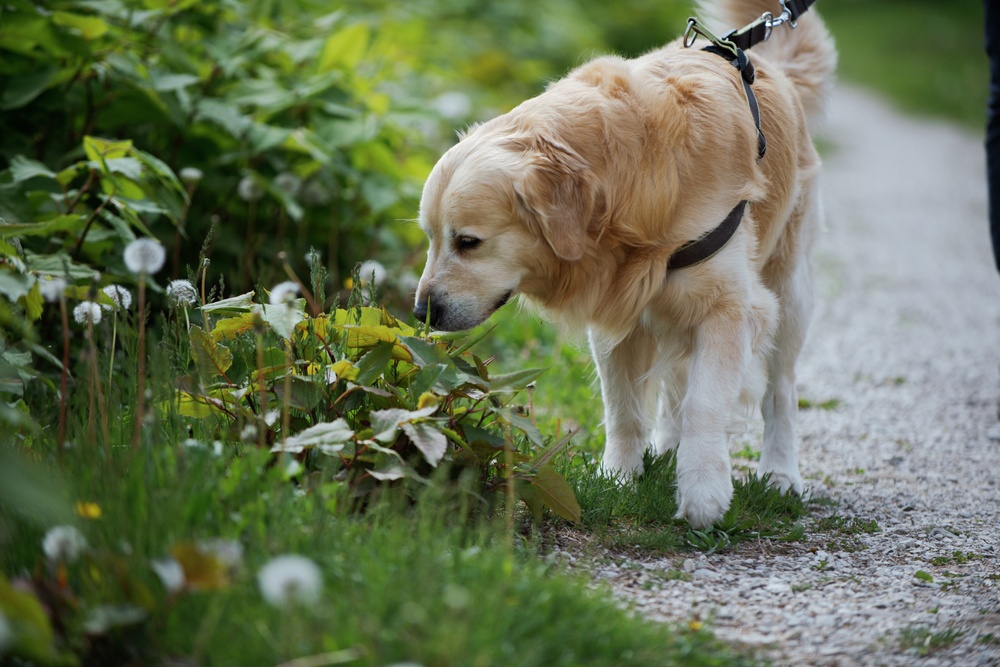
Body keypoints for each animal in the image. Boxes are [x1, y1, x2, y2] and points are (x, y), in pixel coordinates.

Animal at [412, 0, 836, 528]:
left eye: (468, 242)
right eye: (430, 238)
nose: (421, 312)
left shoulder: (731, 308)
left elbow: (705, 401)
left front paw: (703, 491)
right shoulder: (619, 310)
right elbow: (624, 408)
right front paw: (620, 477)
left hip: (788, 290)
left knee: (779, 389)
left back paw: (780, 473)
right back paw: (670, 448)